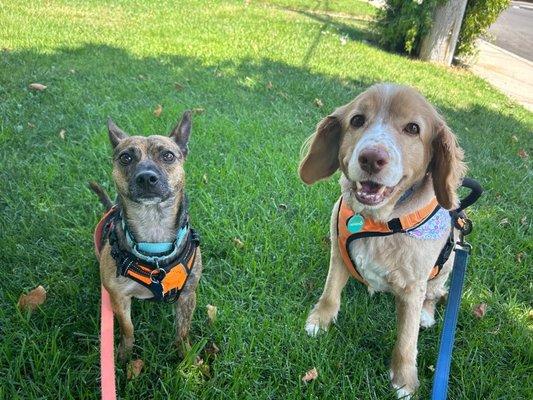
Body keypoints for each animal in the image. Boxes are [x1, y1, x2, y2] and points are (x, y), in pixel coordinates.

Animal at [91, 111, 202, 360]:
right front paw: (124, 354)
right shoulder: (119, 297)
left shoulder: (188, 295)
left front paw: (187, 359)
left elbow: (182, 330)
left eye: (168, 155)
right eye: (125, 158)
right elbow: (128, 328)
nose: (146, 177)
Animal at [300, 83, 466, 396]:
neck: (378, 221)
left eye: (413, 128)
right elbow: (330, 292)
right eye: (356, 120)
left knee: (436, 294)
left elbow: (407, 339)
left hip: (449, 261)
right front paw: (320, 320)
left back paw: (427, 314)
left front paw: (404, 380)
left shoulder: (413, 287)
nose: (371, 158)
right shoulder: (338, 252)